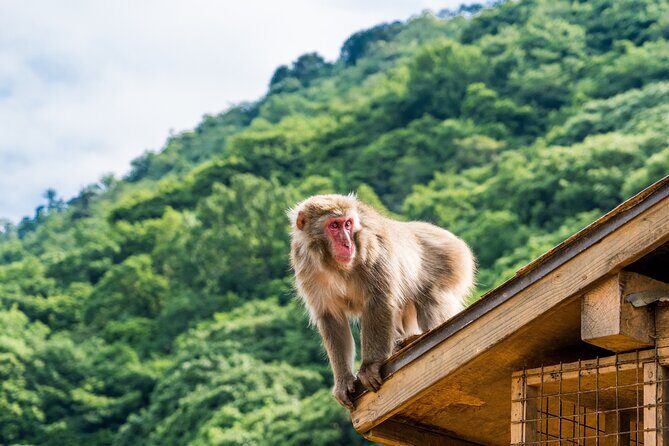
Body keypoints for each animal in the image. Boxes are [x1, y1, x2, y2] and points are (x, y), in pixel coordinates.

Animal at [288, 194, 476, 409]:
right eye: (334, 226)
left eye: (348, 224)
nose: (347, 244)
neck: (335, 266)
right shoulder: (306, 267)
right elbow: (331, 318)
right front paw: (343, 380)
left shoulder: (372, 249)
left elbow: (379, 300)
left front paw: (370, 366)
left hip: (453, 262)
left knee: (431, 298)